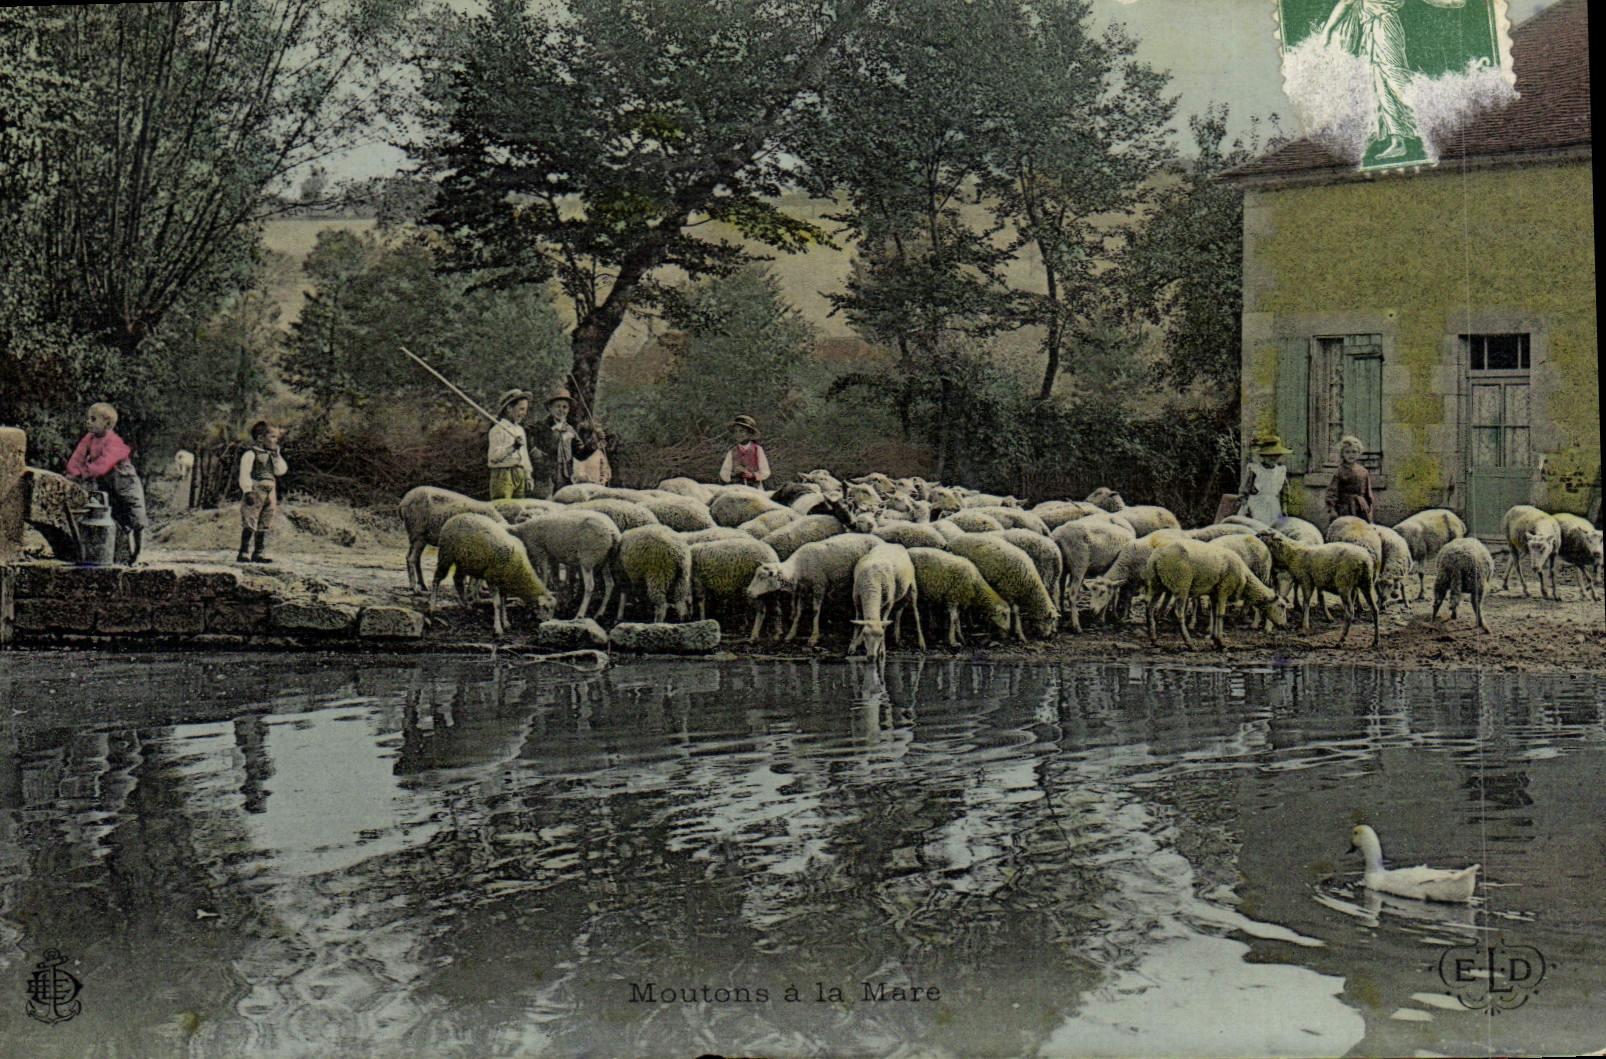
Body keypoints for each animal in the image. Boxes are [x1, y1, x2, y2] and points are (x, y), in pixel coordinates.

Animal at [746, 533, 881, 645]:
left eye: (762, 577)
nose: (748, 592)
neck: (798, 569)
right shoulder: (803, 590)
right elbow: (798, 612)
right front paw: (790, 635)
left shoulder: (819, 586)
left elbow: (815, 611)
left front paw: (814, 637)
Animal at [1146, 539, 1288, 650]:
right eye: (1281, 606)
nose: (1284, 625)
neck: (1245, 578)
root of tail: (1156, 557)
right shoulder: (1224, 589)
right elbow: (1220, 614)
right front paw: (1220, 641)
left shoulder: (1214, 593)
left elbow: (1214, 613)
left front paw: (1214, 638)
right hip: (1182, 584)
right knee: (1178, 613)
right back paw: (1189, 642)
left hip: (1156, 584)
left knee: (1150, 608)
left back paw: (1153, 638)